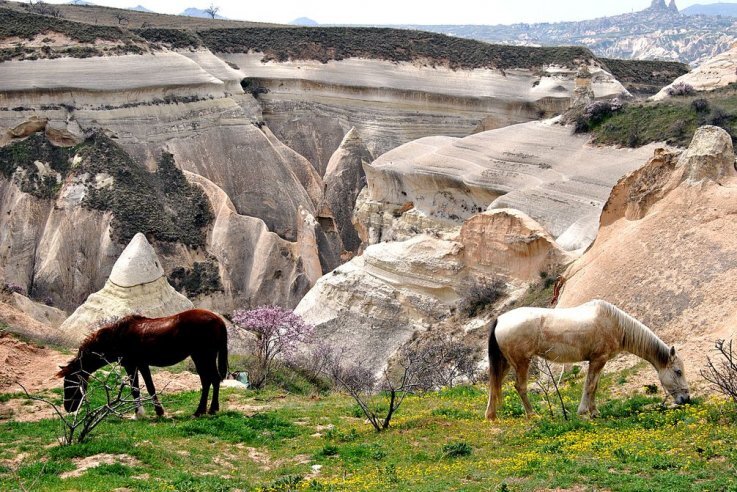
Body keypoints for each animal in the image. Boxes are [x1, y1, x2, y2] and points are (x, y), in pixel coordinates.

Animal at [56, 310, 227, 418]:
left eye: (70, 383)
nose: (68, 408)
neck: (116, 337)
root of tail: (219, 320)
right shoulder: (142, 365)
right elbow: (150, 387)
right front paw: (158, 411)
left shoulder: (131, 365)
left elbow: (136, 389)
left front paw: (140, 414)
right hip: (202, 357)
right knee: (209, 380)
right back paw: (208, 409)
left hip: (203, 357)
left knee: (211, 379)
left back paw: (203, 410)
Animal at [486, 298, 688, 420]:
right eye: (678, 372)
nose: (686, 398)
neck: (615, 324)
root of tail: (500, 319)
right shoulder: (598, 360)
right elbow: (590, 386)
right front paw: (584, 411)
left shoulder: (598, 362)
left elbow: (594, 386)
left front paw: (594, 412)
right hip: (522, 363)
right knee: (520, 387)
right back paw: (532, 414)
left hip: (505, 363)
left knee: (494, 385)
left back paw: (491, 416)